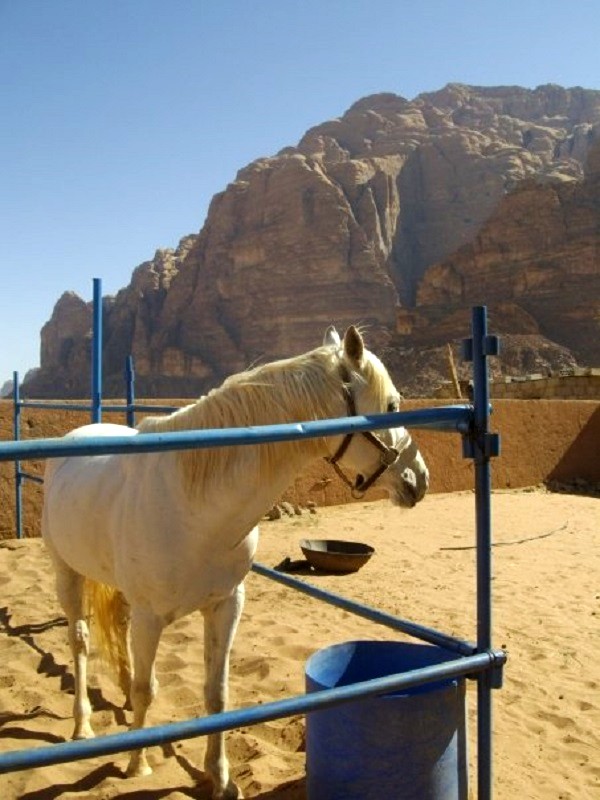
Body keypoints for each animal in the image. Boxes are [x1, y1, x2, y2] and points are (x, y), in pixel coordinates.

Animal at [42, 326, 428, 800]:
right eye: (391, 406)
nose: (419, 480)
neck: (194, 505)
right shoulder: (151, 617)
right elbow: (148, 689)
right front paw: (138, 764)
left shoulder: (226, 605)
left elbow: (217, 695)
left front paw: (221, 779)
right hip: (67, 574)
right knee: (78, 641)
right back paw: (82, 725)